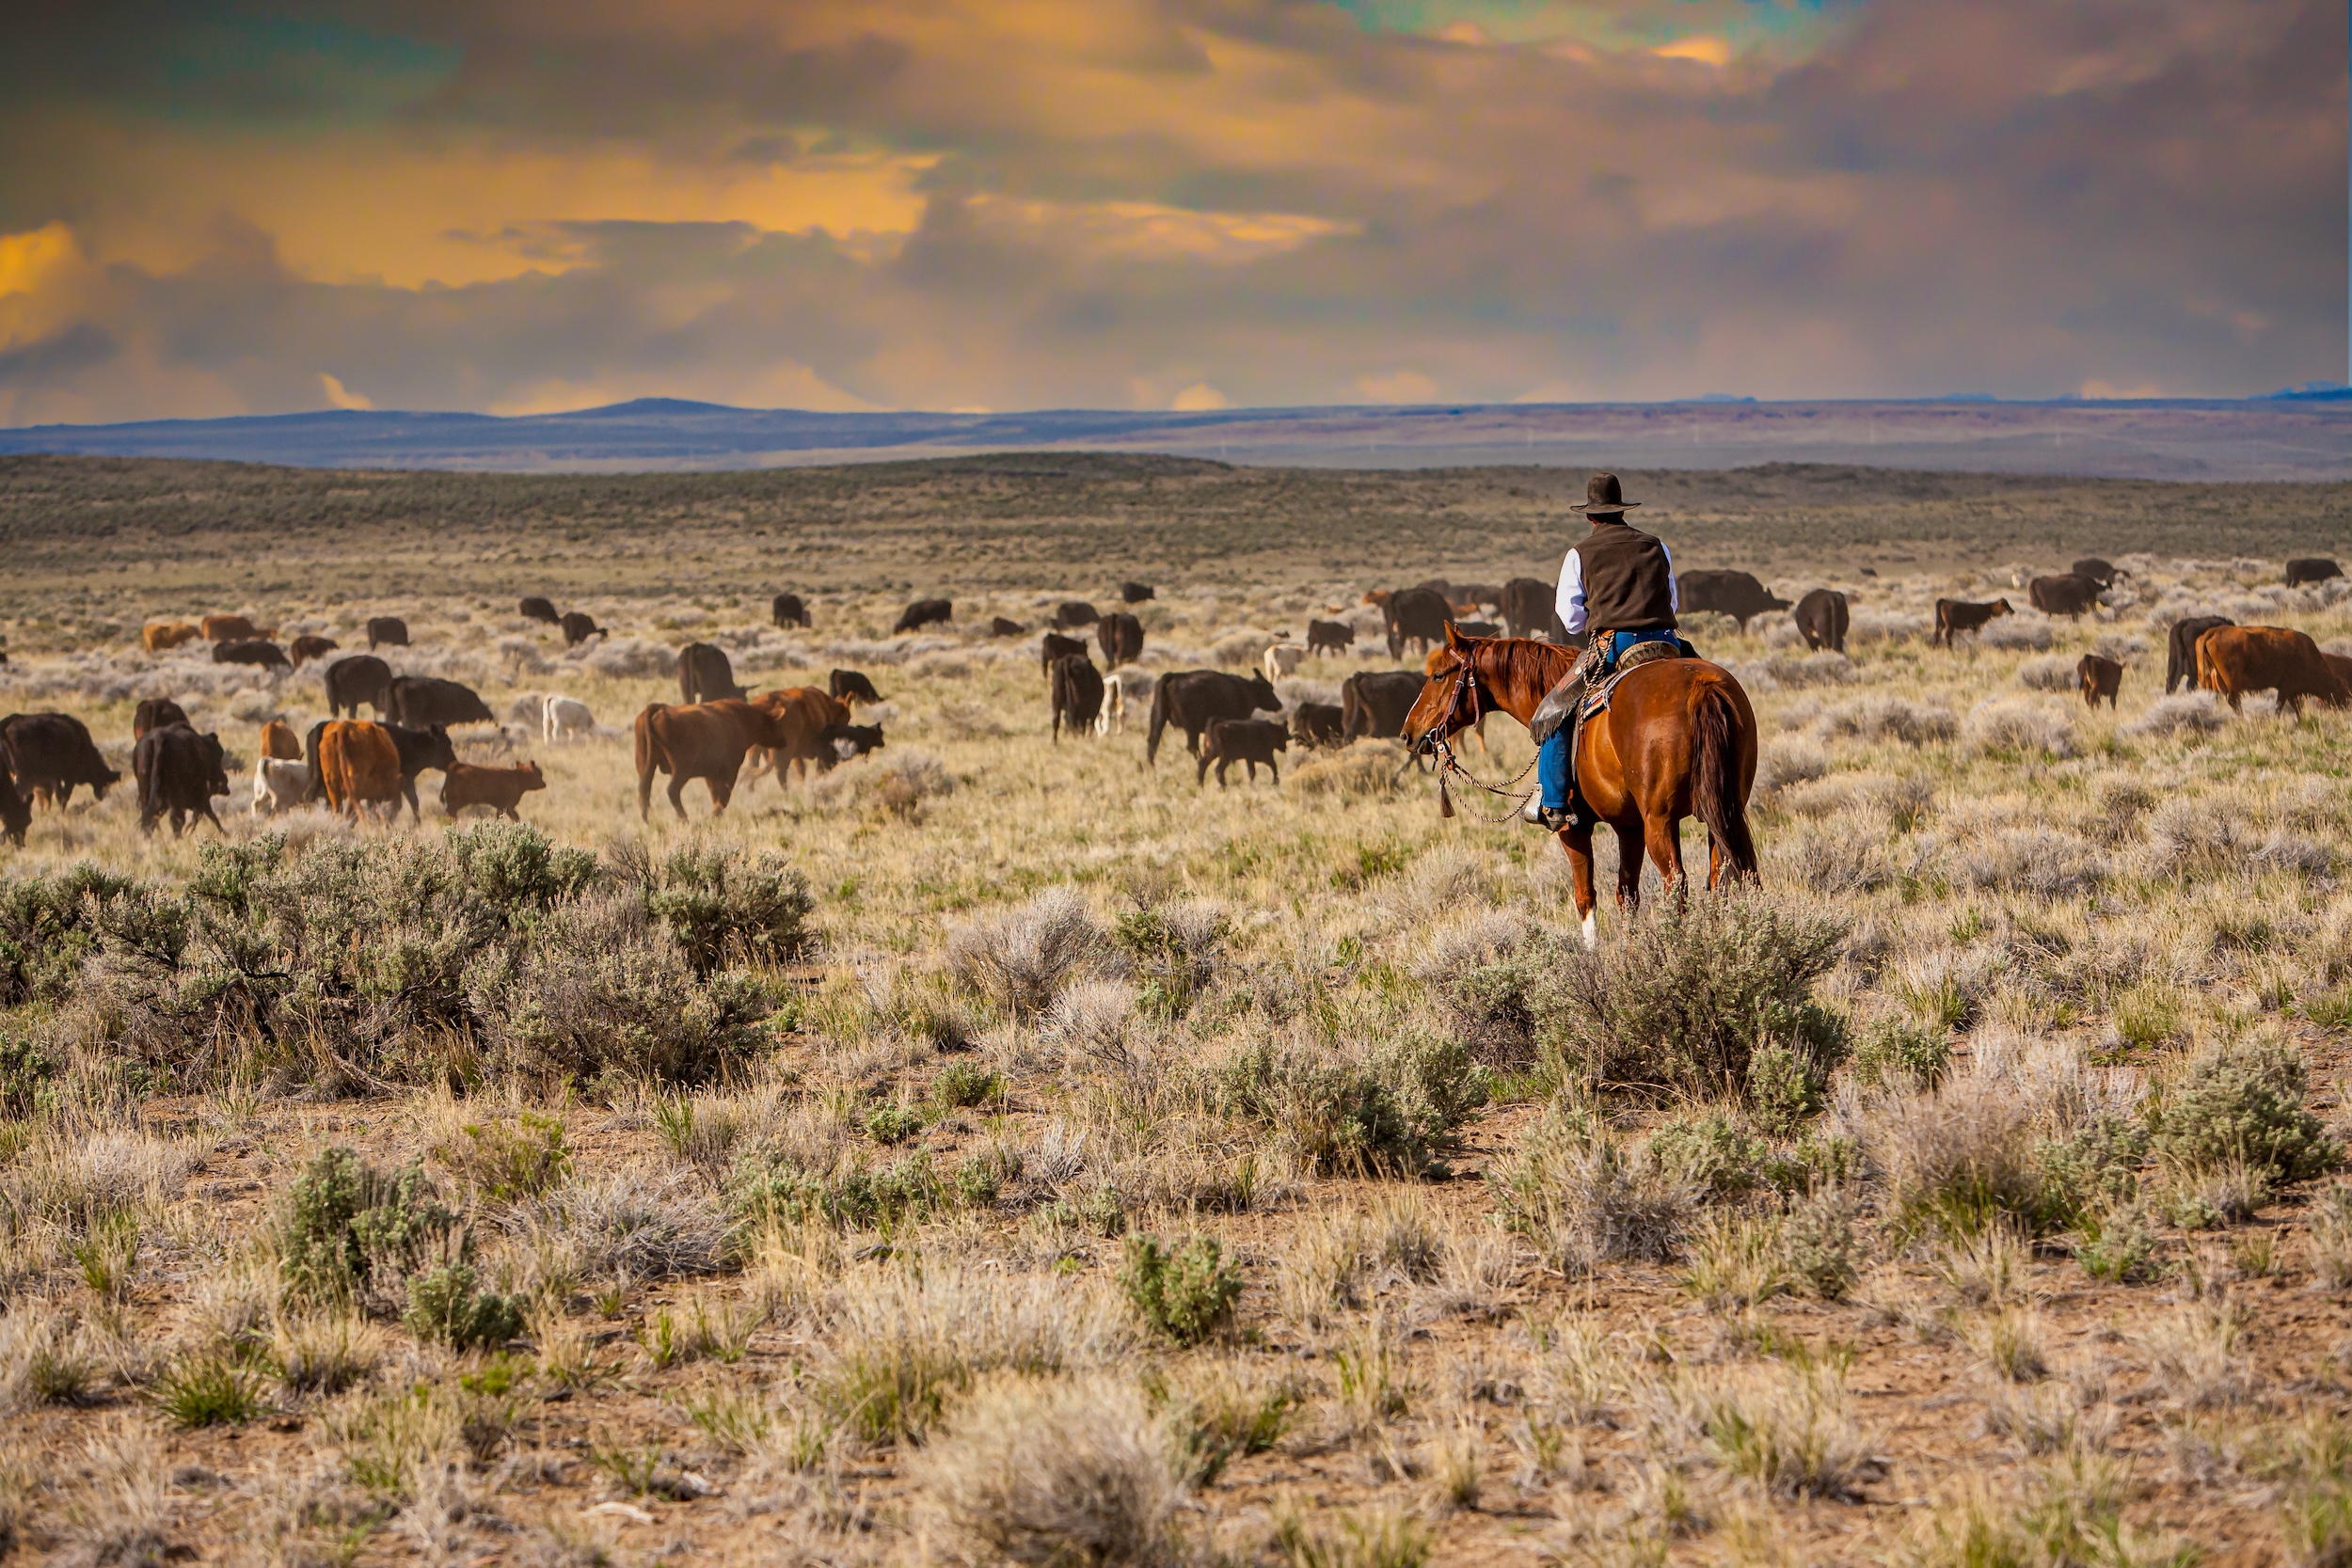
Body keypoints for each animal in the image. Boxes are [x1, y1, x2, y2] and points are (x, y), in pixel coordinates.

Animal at [635, 699, 788, 817]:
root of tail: (660, 708)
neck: (740, 718)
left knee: (644, 789)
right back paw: (684, 818)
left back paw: (648, 820)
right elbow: (724, 795)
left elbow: (716, 794)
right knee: (672, 790)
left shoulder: (711, 774)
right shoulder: (730, 771)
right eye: (777, 723)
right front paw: (714, 815)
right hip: (681, 770)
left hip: (646, 765)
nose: (783, 741)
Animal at [1145, 671, 1281, 764]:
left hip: (1159, 720)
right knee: (1191, 746)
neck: (1247, 689)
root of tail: (1174, 676)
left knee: (1153, 742)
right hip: (1191, 728)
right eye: (1269, 689)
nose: (1279, 704)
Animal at [2197, 626, 2352, 716]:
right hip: (2233, 682)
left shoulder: (2291, 692)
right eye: (2343, 694)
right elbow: (2280, 708)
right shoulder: (2285, 688)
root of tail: (2216, 630)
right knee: (2234, 701)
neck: (2308, 656)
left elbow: (2297, 708)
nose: (2346, 709)